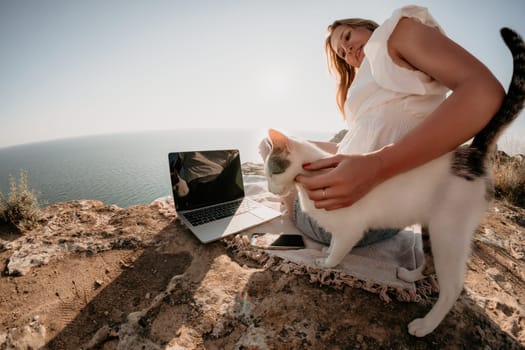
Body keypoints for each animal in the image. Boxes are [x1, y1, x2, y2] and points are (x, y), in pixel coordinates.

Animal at [264, 28, 520, 340]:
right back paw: (410, 275)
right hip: (431, 228)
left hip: (448, 231)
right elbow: (333, 242)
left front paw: (325, 262)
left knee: (452, 286)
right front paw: (325, 252)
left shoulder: (351, 229)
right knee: (430, 263)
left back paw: (425, 325)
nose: (269, 189)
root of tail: (472, 153)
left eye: (270, 172)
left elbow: (338, 249)